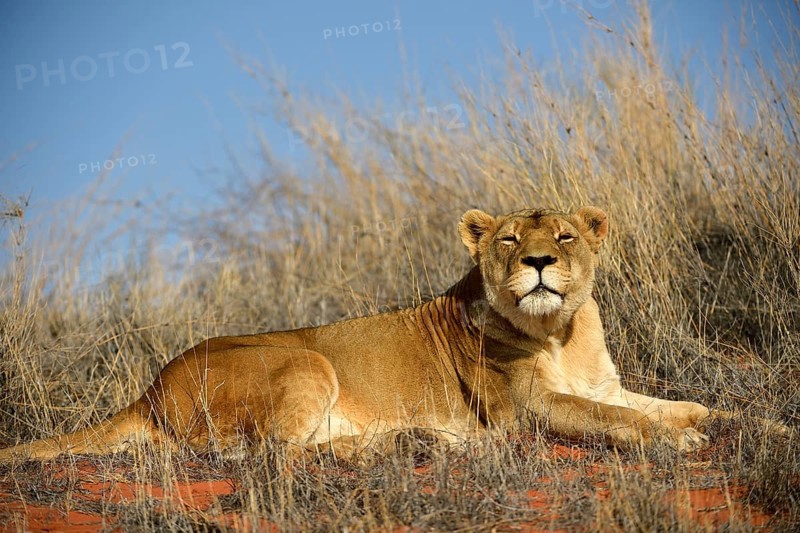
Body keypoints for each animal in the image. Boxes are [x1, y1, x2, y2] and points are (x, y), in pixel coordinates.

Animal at [0, 206, 784, 463]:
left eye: (563, 235)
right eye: (508, 239)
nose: (537, 262)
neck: (561, 331)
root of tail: (150, 385)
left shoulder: (609, 385)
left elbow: (684, 404)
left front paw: (765, 425)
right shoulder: (528, 409)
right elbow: (615, 421)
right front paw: (676, 442)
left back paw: (418, 439)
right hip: (305, 360)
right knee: (271, 454)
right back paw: (412, 444)